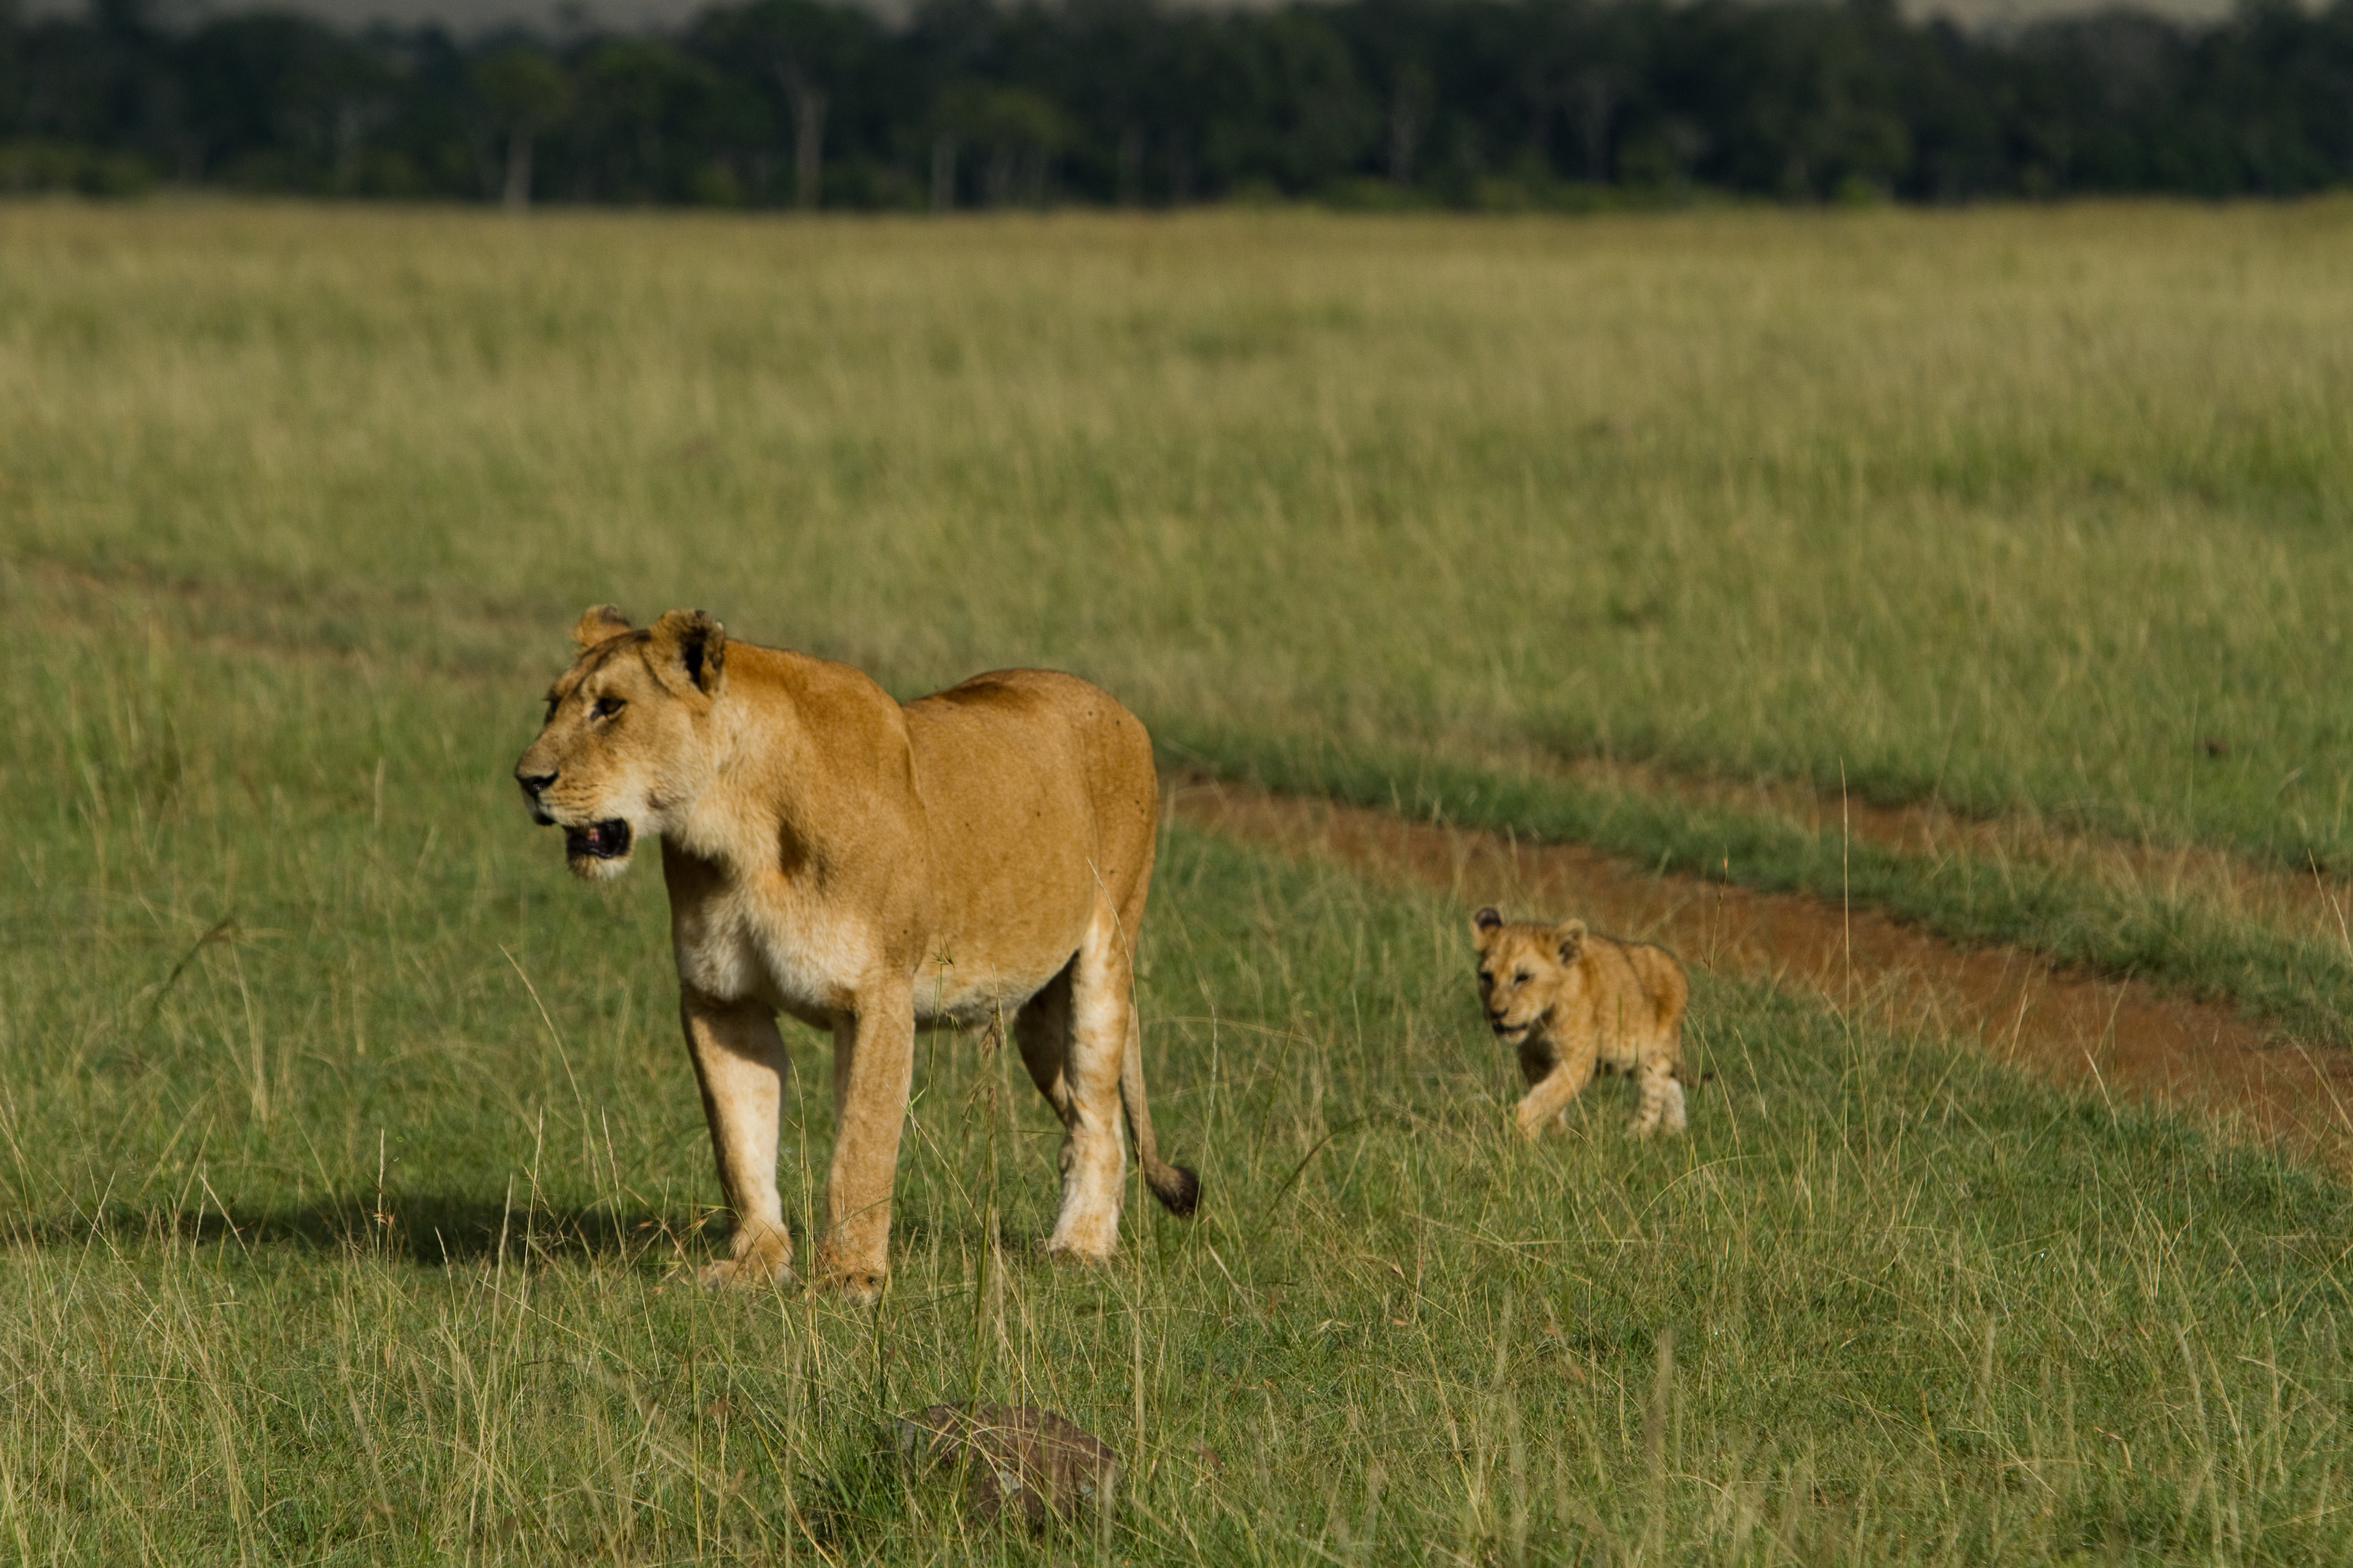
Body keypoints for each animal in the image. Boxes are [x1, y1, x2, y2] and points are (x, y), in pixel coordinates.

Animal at [514, 605, 1197, 1300]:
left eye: (610, 707)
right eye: (552, 705)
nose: (527, 781)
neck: (739, 830)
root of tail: (1114, 705)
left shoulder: (878, 997)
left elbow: (861, 1147)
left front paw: (849, 1277)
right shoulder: (719, 1000)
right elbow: (739, 1140)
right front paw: (754, 1265)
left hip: (1106, 955)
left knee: (1097, 1117)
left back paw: (1080, 1247)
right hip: (1037, 1015)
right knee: (1095, 1113)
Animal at [1470, 906, 1691, 1139]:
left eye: (1523, 978)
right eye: (1487, 977)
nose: (1496, 1013)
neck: (1542, 1021)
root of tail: (1676, 966)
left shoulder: (1578, 1058)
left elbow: (1548, 1095)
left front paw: (1521, 1131)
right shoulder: (1533, 1058)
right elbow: (1549, 1097)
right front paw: (1557, 1134)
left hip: (1655, 1055)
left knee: (1652, 1099)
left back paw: (1634, 1138)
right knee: (1672, 1087)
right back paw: (1674, 1132)